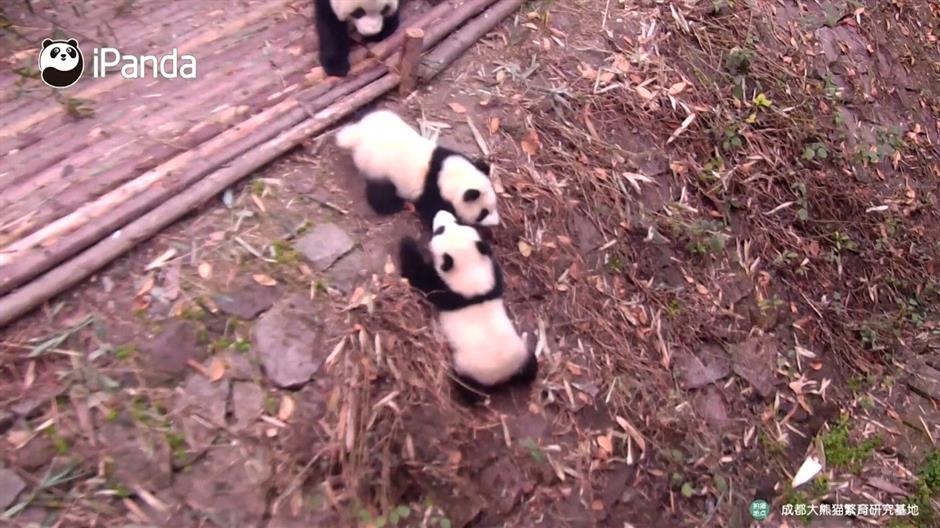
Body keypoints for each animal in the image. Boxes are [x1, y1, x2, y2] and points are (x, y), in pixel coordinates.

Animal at [336, 109, 501, 228]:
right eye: (483, 213)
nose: (496, 222)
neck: (449, 174)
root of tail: (357, 134)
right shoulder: (433, 194)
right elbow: (434, 214)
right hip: (379, 168)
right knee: (380, 193)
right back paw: (394, 206)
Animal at [399, 210, 537, 404]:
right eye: (456, 222)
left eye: (440, 230)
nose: (441, 212)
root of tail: (502, 377)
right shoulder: (492, 281)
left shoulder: (447, 291)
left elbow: (421, 278)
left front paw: (407, 243)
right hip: (521, 355)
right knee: (531, 366)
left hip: (472, 369)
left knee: (467, 387)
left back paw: (468, 395)